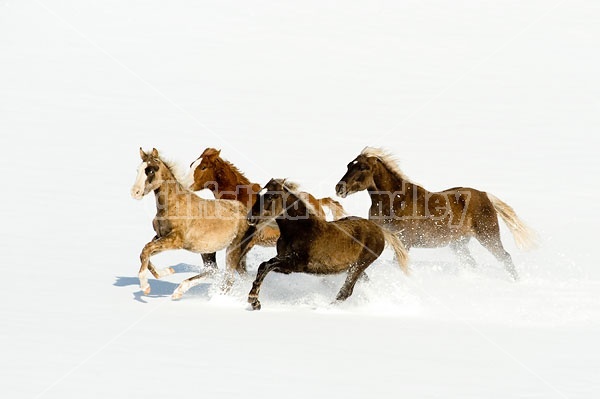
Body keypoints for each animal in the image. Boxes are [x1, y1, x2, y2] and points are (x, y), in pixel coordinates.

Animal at [131, 148, 251, 298]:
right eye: (138, 169)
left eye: (151, 170)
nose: (135, 192)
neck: (172, 205)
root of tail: (244, 210)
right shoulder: (160, 236)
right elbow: (145, 254)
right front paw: (168, 271)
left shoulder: (175, 240)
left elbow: (146, 249)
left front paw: (145, 286)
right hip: (209, 251)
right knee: (214, 271)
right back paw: (179, 291)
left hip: (233, 249)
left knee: (227, 277)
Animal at [244, 179, 408, 312]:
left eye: (270, 196)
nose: (250, 218)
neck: (300, 229)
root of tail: (379, 230)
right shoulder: (285, 265)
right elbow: (264, 266)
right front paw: (255, 303)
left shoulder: (296, 263)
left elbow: (266, 265)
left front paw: (253, 300)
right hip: (353, 267)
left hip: (360, 265)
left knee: (345, 292)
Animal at [336, 147, 536, 282]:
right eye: (348, 165)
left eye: (363, 167)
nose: (339, 188)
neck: (394, 201)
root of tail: (485, 195)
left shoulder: (405, 241)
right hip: (459, 244)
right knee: (473, 263)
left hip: (488, 236)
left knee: (505, 257)